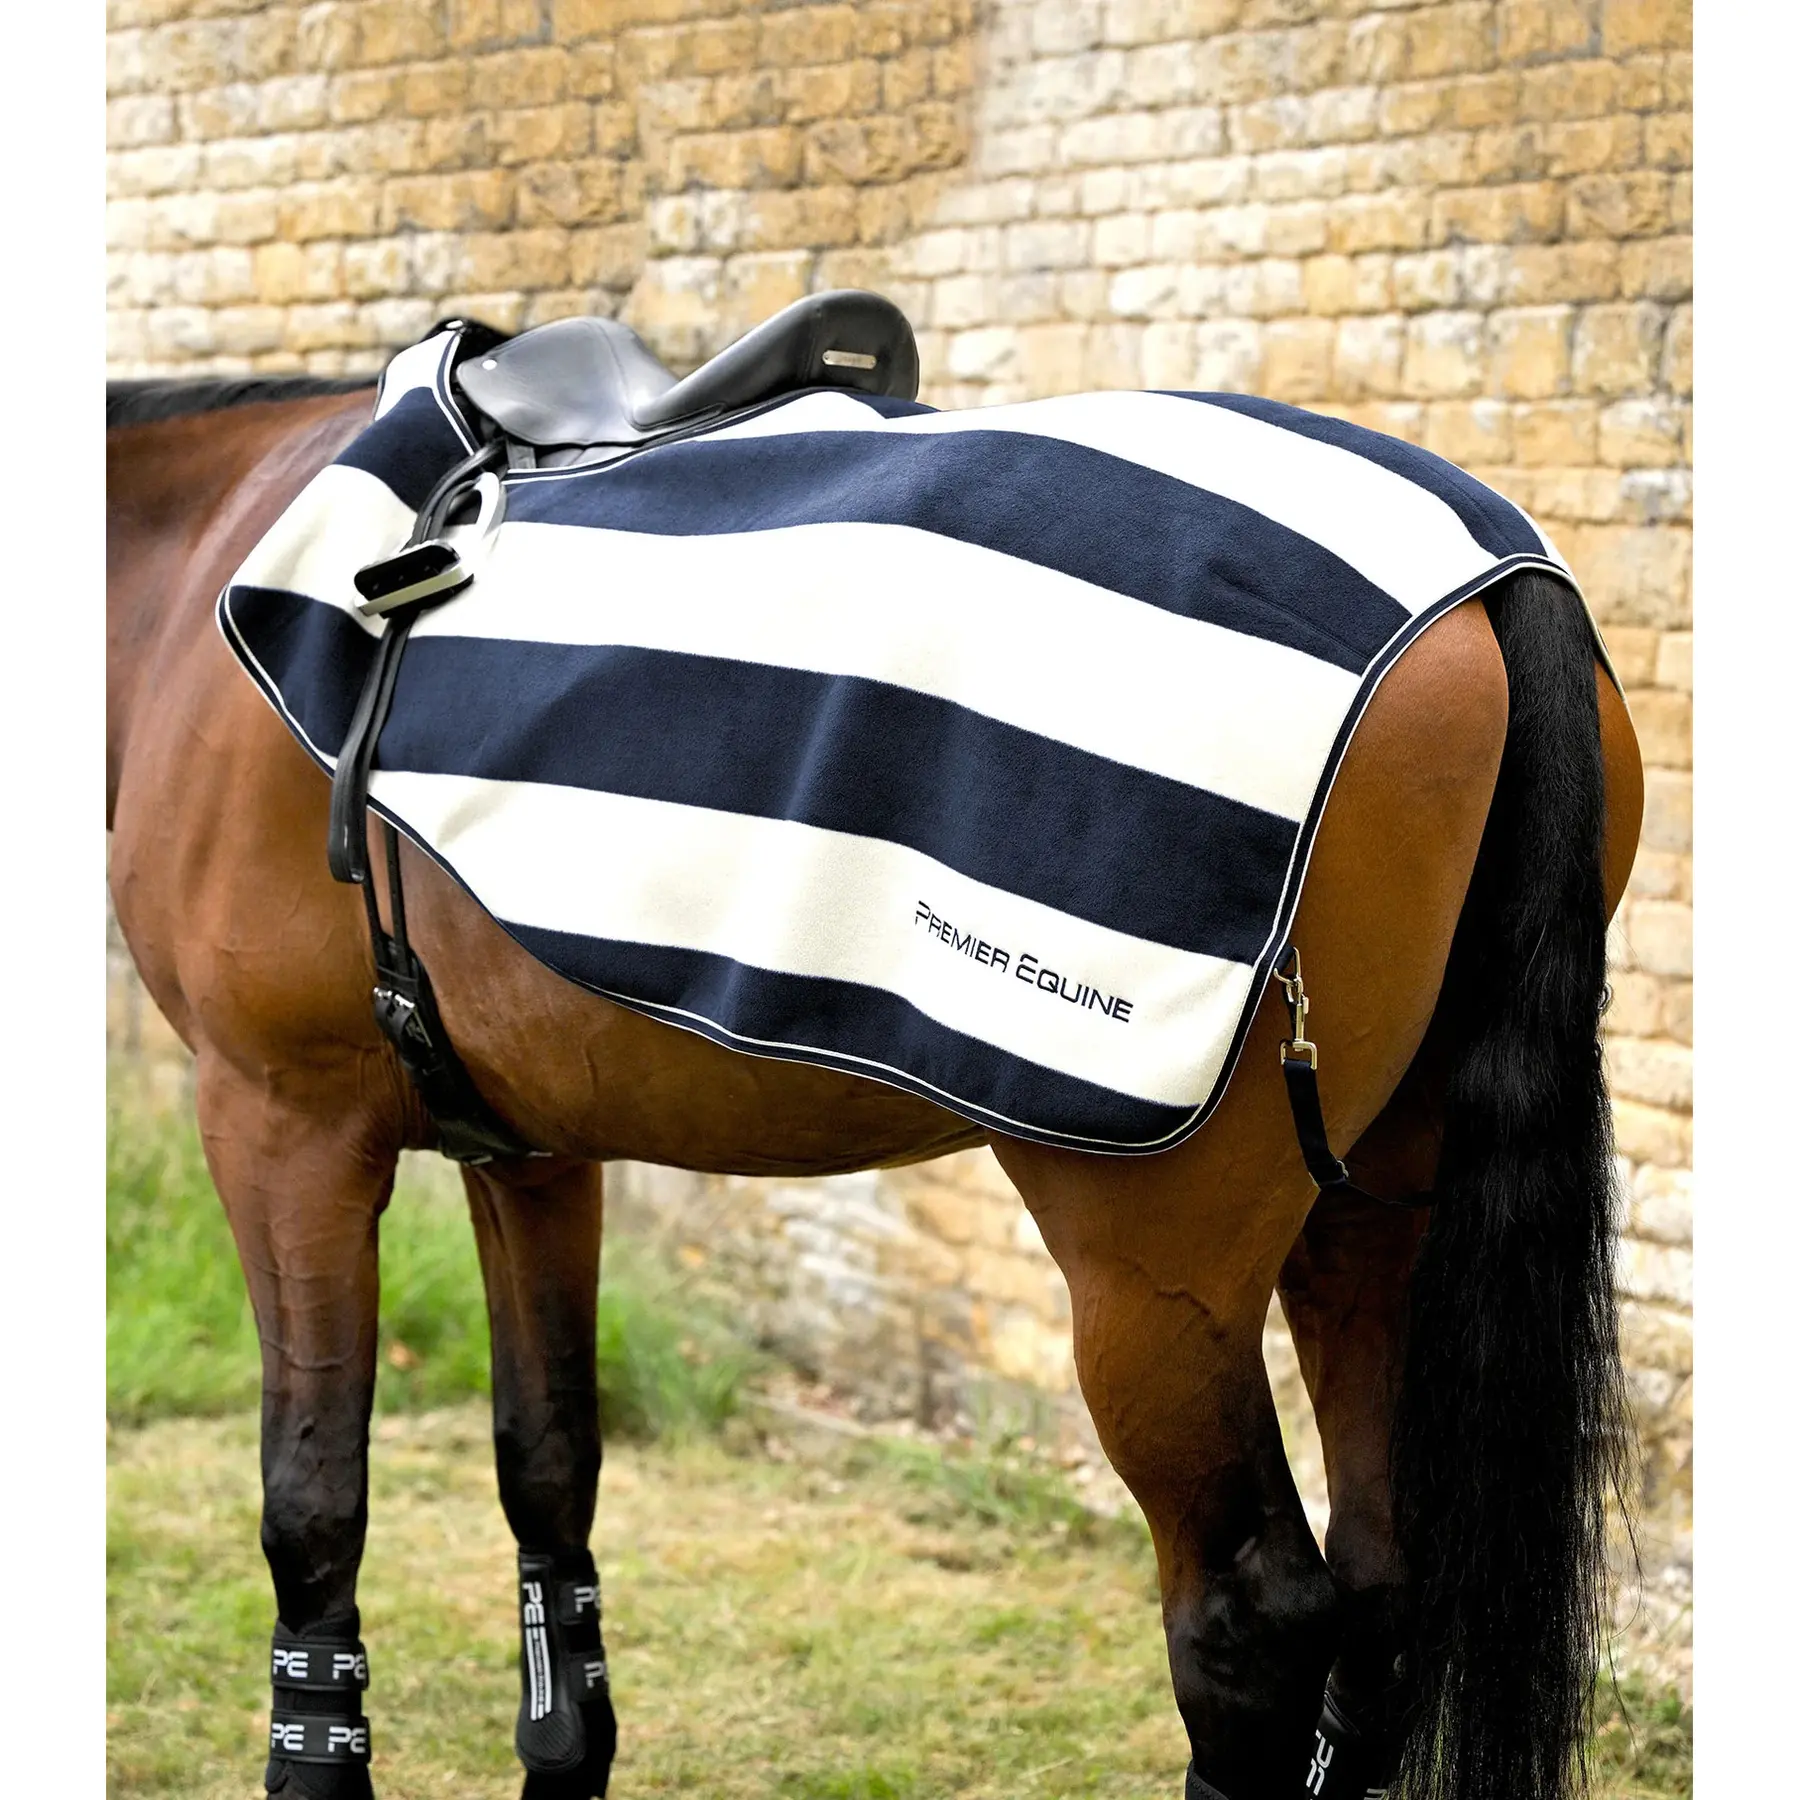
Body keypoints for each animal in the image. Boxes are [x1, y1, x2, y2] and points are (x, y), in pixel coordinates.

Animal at [106, 362, 1643, 1800]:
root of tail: (1491, 585)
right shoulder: (529, 1151)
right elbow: (547, 1461)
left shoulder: (280, 1123)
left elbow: (312, 1500)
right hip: (1370, 1218)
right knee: (1385, 1583)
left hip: (1158, 1270)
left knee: (1252, 1620)